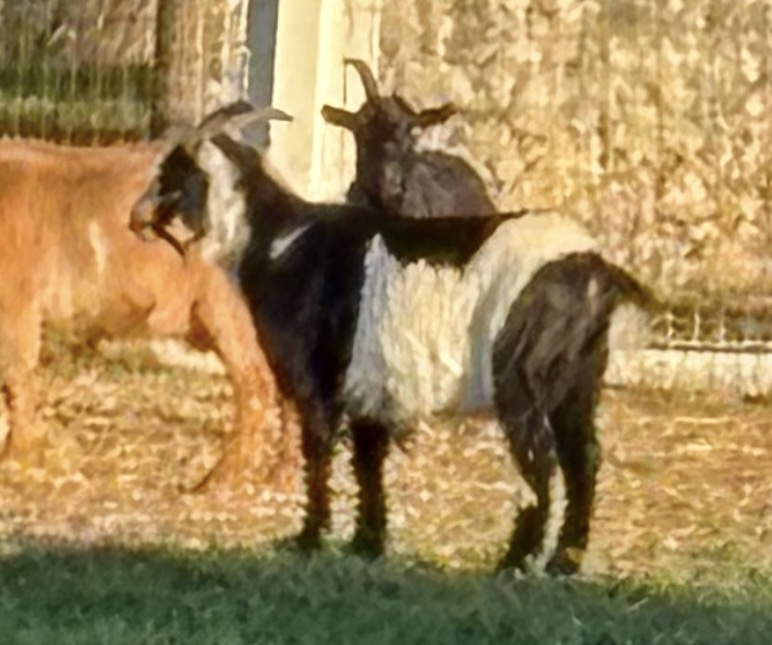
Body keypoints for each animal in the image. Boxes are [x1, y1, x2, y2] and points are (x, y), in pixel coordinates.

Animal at [0, 136, 294, 492]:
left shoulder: (17, 304)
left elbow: (16, 376)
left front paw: (16, 461)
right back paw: (283, 476)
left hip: (228, 306)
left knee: (256, 384)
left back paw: (218, 482)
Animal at [131, 101, 656, 576]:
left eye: (174, 168)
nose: (136, 217)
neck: (281, 238)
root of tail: (595, 269)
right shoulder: (373, 390)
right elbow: (369, 466)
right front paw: (368, 544)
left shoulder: (318, 384)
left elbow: (318, 455)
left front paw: (308, 540)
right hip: (578, 379)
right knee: (583, 459)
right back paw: (565, 561)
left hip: (521, 380)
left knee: (542, 464)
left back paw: (515, 561)